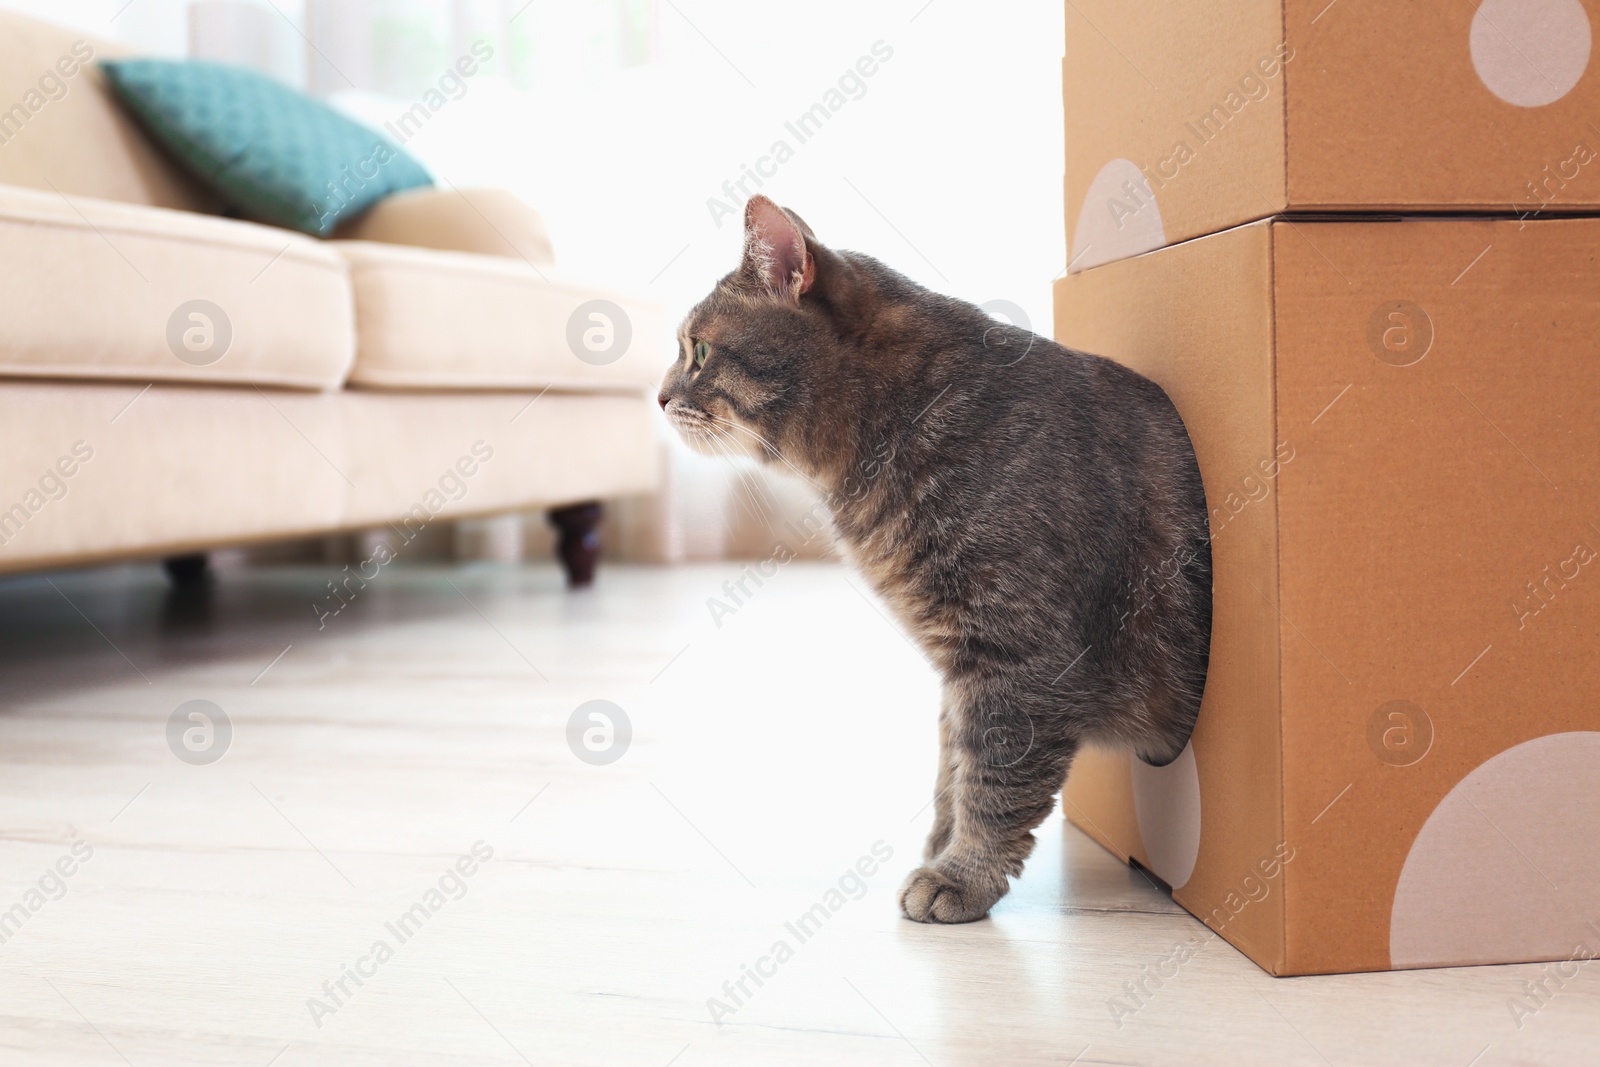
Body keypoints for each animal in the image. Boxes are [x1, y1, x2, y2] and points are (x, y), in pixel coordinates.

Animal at [656, 195, 1203, 921]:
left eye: (699, 349)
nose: (659, 396)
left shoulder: (1017, 658)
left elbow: (994, 780)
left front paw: (962, 873)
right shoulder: (961, 663)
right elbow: (952, 768)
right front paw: (942, 844)